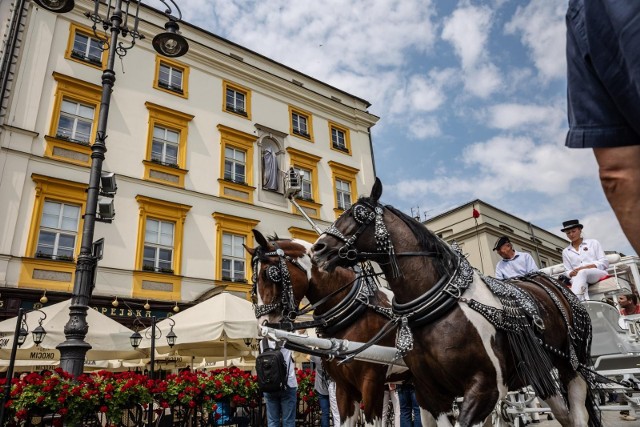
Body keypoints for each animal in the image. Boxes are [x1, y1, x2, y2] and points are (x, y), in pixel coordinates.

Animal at [312, 179, 604, 427]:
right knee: (564, 415)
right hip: (539, 371)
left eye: (360, 213)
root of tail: (552, 282)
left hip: (572, 367)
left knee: (578, 413)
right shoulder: (431, 393)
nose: (318, 249)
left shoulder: (484, 388)